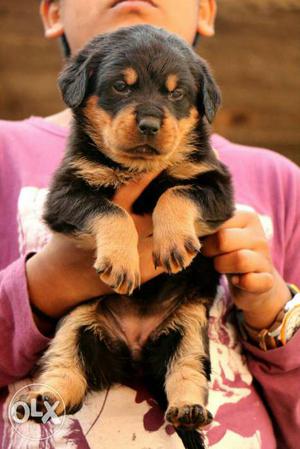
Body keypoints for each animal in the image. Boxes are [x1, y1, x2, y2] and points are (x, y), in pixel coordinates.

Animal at [22, 26, 236, 448]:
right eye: (121, 86)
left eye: (176, 93)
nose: (150, 123)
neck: (137, 169)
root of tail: (134, 358)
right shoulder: (67, 191)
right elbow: (110, 210)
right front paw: (122, 262)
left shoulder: (216, 186)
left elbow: (176, 191)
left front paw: (173, 243)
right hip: (76, 321)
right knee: (65, 368)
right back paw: (44, 397)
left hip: (189, 326)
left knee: (185, 369)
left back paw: (188, 408)